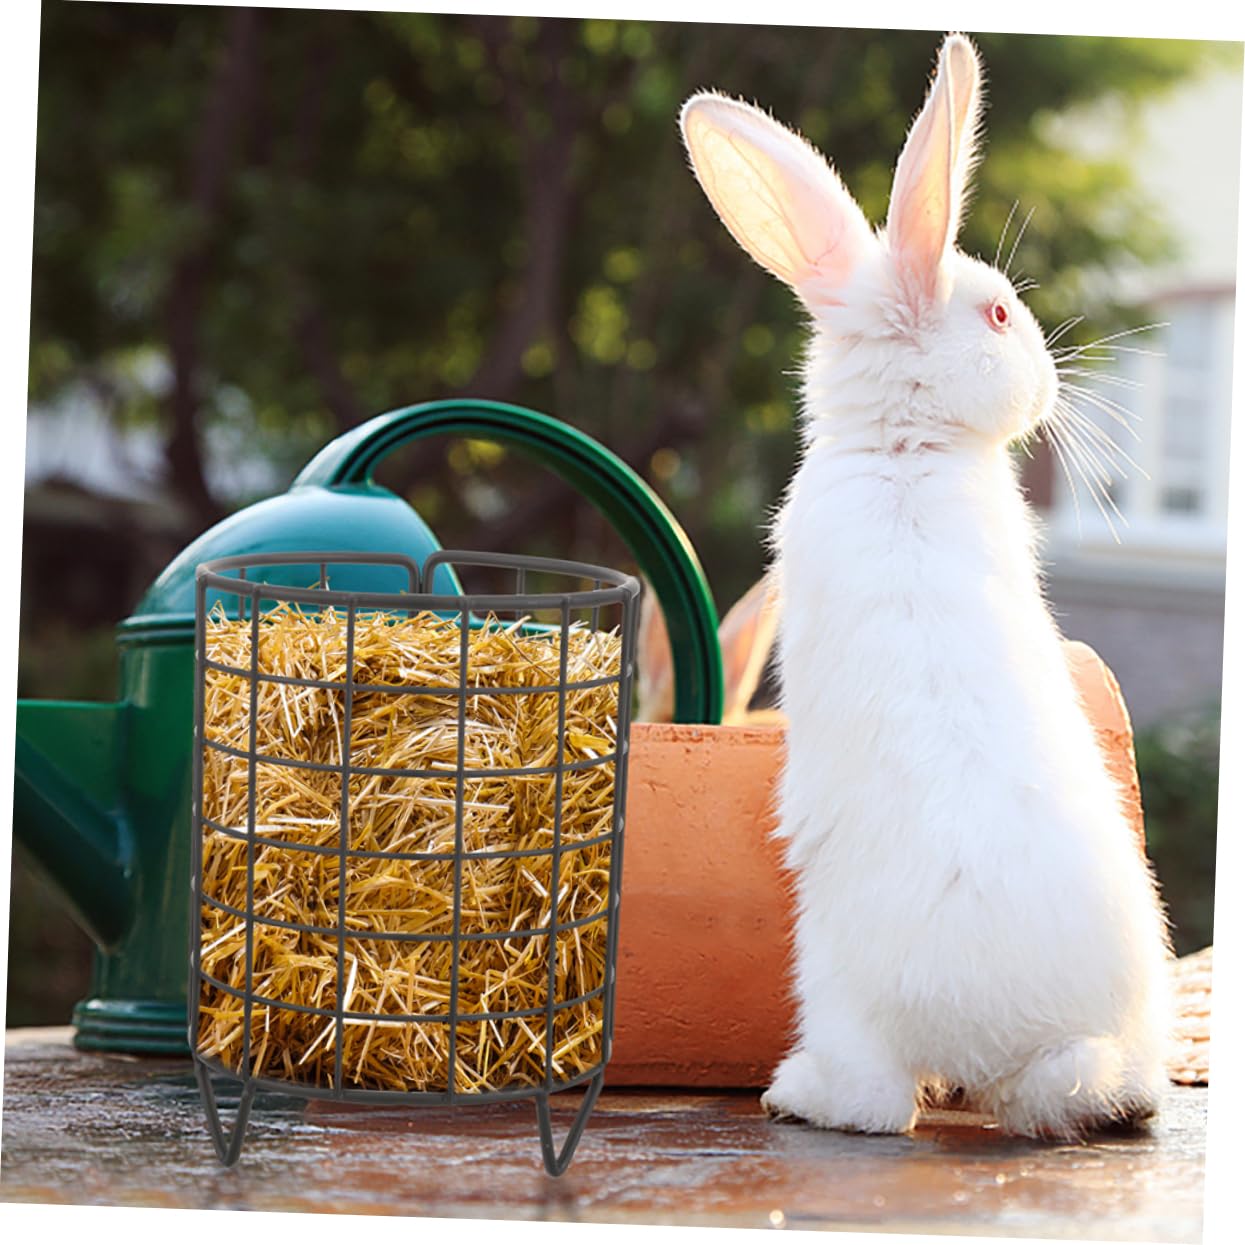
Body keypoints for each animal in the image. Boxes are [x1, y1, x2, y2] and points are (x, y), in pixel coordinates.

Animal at [678, 32, 1173, 1140]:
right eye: (996, 313)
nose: (1048, 377)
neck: (904, 446)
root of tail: (1008, 1040)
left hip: (832, 984)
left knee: (873, 1104)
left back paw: (793, 1094)